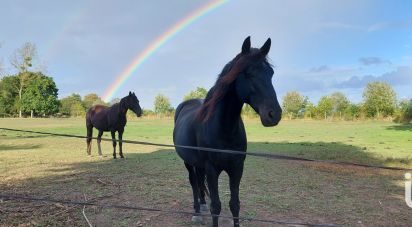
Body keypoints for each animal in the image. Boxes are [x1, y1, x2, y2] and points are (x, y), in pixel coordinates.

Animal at [172, 36, 282, 226]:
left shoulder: (237, 168)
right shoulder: (212, 170)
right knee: (193, 182)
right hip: (188, 162)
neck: (224, 129)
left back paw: (202, 205)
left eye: (271, 73)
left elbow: (234, 204)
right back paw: (197, 212)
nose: (273, 114)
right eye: (248, 73)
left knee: (199, 181)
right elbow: (216, 206)